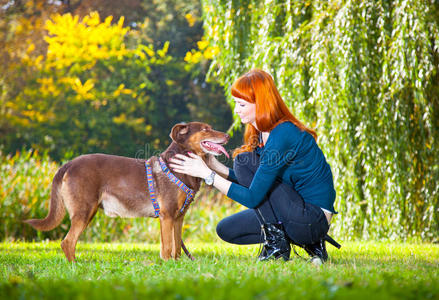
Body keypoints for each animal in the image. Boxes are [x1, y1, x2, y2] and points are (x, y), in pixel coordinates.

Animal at [24, 122, 230, 260]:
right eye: (205, 129)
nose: (228, 136)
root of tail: (68, 164)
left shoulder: (178, 217)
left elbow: (177, 248)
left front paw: (177, 265)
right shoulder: (167, 216)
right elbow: (167, 247)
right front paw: (167, 265)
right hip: (84, 210)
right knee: (67, 242)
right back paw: (75, 266)